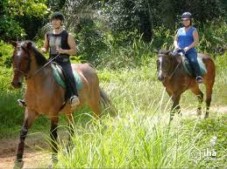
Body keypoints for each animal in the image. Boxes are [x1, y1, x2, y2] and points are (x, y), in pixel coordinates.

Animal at [11, 40, 113, 168]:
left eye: (25, 58)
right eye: (13, 57)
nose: (15, 83)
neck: (40, 84)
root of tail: (89, 67)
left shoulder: (54, 113)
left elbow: (53, 134)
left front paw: (54, 160)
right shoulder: (30, 111)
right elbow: (23, 132)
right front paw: (18, 161)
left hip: (93, 102)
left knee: (99, 121)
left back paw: (99, 142)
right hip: (70, 110)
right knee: (72, 127)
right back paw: (69, 150)